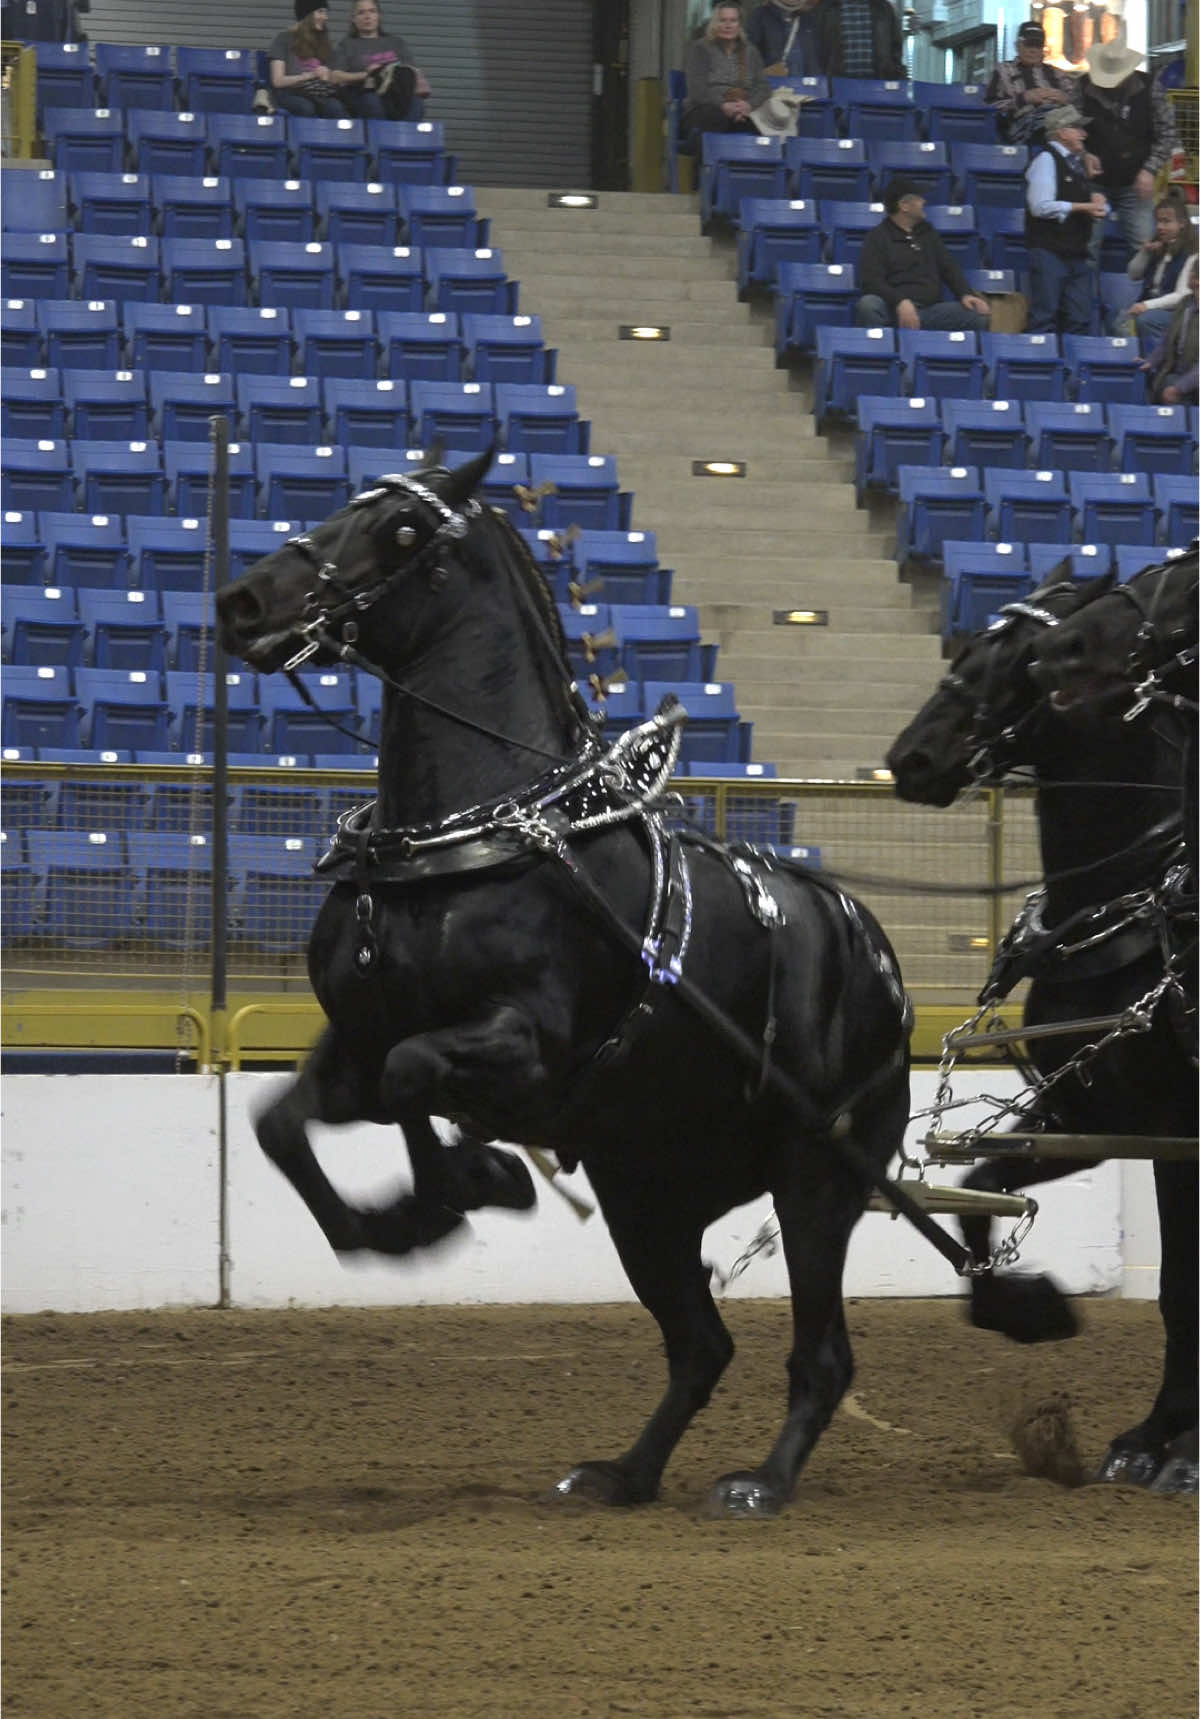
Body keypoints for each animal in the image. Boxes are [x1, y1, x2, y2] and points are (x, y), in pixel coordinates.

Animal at [217, 453, 907, 1519]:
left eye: (401, 533)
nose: (244, 602)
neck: (472, 835)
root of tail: (872, 951)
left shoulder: (522, 1041)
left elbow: (417, 1076)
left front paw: (465, 1188)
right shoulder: (353, 1051)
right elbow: (282, 1124)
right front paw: (390, 1221)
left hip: (816, 1177)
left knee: (820, 1354)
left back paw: (760, 1480)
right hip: (647, 1191)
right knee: (700, 1345)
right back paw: (622, 1472)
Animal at [880, 574, 1189, 1492]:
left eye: (1021, 662)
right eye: (969, 647)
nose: (913, 755)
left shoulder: (1178, 1130)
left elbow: (1186, 1287)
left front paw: (1176, 1450)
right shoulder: (1091, 1114)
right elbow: (980, 1188)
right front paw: (1032, 1307)